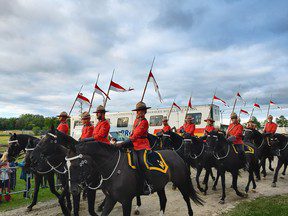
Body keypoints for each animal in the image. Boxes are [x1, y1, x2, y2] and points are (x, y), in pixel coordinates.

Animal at [33, 129, 204, 215]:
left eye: (78, 163)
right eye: (67, 164)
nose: (74, 189)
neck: (111, 168)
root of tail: (176, 154)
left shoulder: (125, 201)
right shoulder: (111, 198)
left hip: (181, 182)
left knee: (187, 198)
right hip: (160, 185)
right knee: (163, 200)